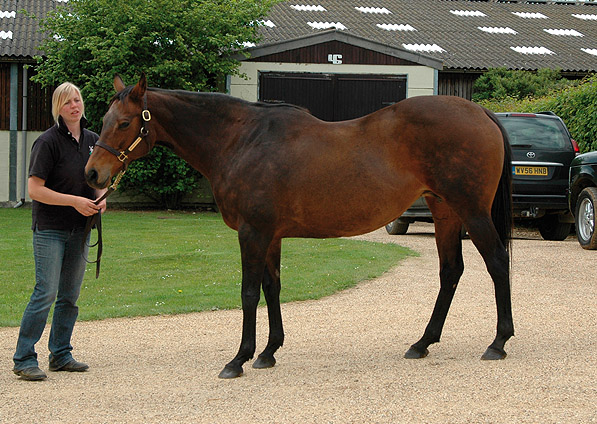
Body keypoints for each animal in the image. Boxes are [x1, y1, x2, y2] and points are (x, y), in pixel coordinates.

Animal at [84, 74, 512, 380]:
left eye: (124, 123)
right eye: (102, 121)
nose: (92, 174)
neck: (241, 140)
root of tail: (481, 113)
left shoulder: (252, 232)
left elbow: (248, 293)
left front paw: (238, 359)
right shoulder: (270, 235)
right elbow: (272, 288)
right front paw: (268, 352)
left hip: (472, 211)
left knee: (496, 263)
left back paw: (498, 342)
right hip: (445, 212)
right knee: (450, 271)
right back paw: (423, 343)